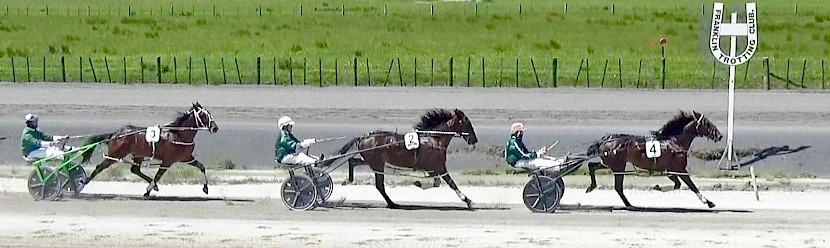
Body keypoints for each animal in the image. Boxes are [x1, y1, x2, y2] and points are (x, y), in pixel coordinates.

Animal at [79, 101, 218, 197]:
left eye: (209, 114)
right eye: (203, 115)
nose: (215, 128)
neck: (178, 135)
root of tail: (115, 134)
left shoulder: (187, 158)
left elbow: (201, 167)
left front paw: (206, 188)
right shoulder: (167, 161)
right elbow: (158, 176)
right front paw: (148, 191)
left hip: (138, 155)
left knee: (135, 169)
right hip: (115, 155)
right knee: (100, 167)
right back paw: (83, 182)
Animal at [328, 109, 478, 208]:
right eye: (467, 123)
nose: (474, 140)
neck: (434, 140)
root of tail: (364, 137)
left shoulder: (432, 169)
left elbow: (436, 183)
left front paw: (418, 183)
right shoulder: (439, 167)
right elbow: (451, 183)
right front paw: (467, 200)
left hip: (372, 161)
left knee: (353, 161)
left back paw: (348, 180)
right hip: (377, 164)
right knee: (380, 185)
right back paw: (392, 203)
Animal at [584, 110, 720, 207]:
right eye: (707, 123)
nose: (720, 135)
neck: (674, 142)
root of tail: (605, 140)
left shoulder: (669, 170)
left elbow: (677, 184)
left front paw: (657, 187)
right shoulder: (680, 169)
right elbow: (691, 186)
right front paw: (708, 202)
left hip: (610, 163)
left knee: (592, 166)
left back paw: (592, 187)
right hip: (618, 167)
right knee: (618, 187)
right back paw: (629, 204)